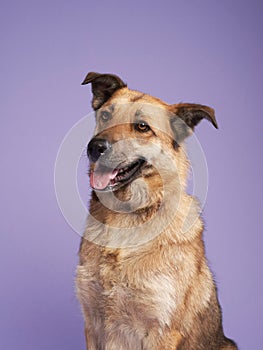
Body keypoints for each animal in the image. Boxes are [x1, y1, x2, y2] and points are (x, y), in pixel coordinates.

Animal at [76, 72, 237, 348]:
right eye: (106, 115)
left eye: (142, 127)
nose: (95, 147)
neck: (126, 216)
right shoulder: (92, 325)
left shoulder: (160, 331)